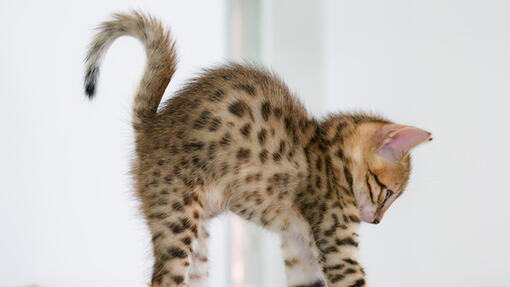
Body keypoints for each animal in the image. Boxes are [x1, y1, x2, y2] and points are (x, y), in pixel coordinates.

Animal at [83, 11, 430, 287]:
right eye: (388, 193)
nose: (377, 222)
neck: (330, 158)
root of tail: (152, 124)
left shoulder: (298, 246)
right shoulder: (336, 244)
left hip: (198, 237)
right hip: (177, 219)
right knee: (162, 279)